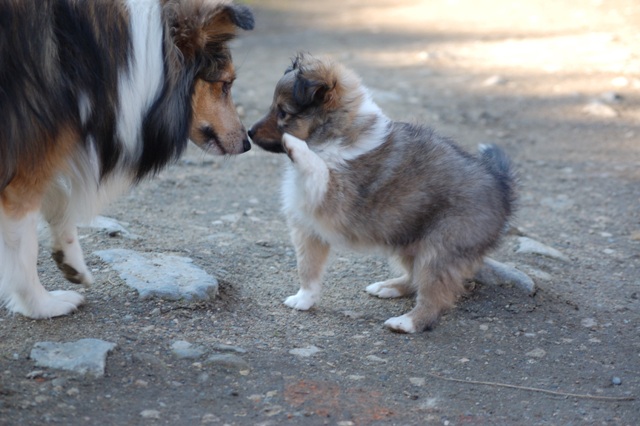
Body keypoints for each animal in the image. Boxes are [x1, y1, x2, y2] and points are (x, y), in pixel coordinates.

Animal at [0, 0, 255, 320]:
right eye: (225, 84)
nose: (247, 143)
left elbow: (60, 198)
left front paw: (69, 260)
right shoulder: (27, 166)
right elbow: (22, 248)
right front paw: (40, 304)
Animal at [249, 53, 516, 332]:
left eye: (283, 112)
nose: (248, 133)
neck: (337, 134)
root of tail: (502, 185)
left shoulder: (336, 196)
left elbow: (317, 166)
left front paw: (294, 143)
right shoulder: (308, 227)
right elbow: (308, 268)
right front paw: (303, 300)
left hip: (441, 247)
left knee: (435, 295)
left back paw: (407, 322)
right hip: (408, 239)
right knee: (415, 279)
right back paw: (388, 287)